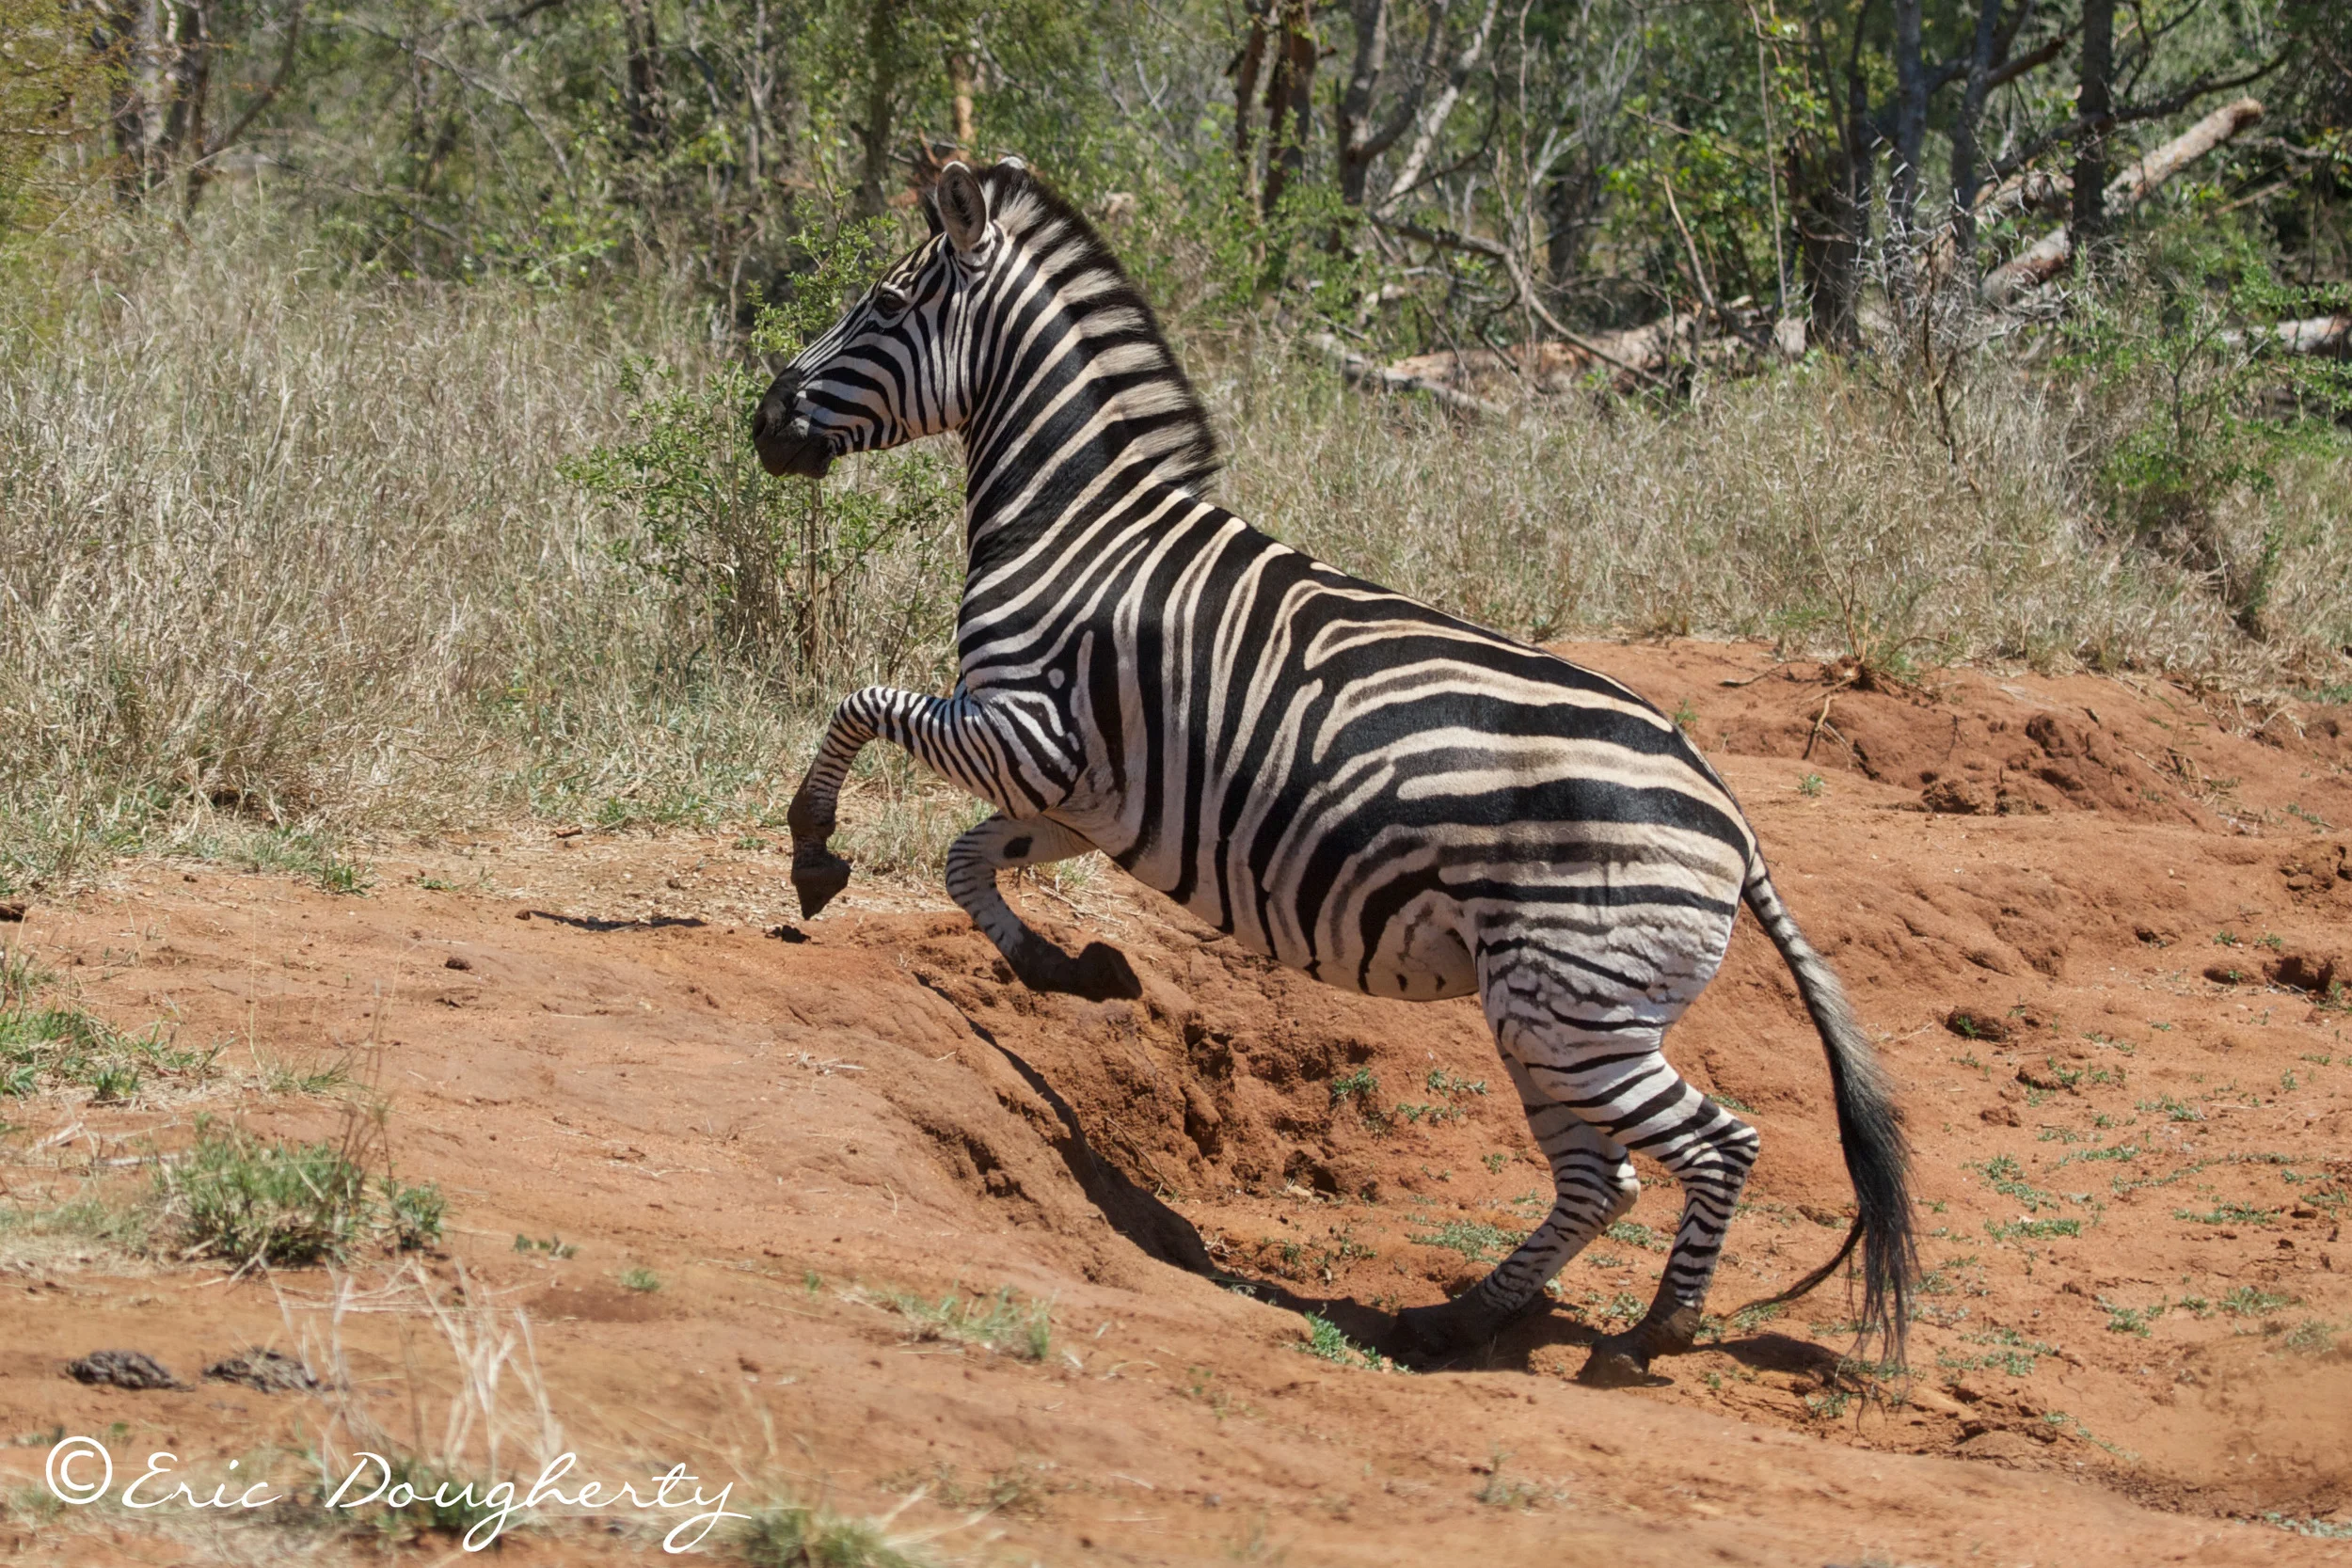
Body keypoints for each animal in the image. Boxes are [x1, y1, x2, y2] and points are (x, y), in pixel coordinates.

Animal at [751, 159, 1914, 1384]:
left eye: (883, 304)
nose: (762, 421)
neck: (1075, 525)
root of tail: (1733, 823)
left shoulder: (1031, 733)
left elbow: (862, 707)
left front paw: (813, 852)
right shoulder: (1087, 792)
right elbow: (969, 860)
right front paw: (1070, 968)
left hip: (1573, 1008)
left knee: (1715, 1142)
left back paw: (1649, 1335)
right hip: (1551, 1012)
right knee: (1602, 1176)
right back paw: (1456, 1318)